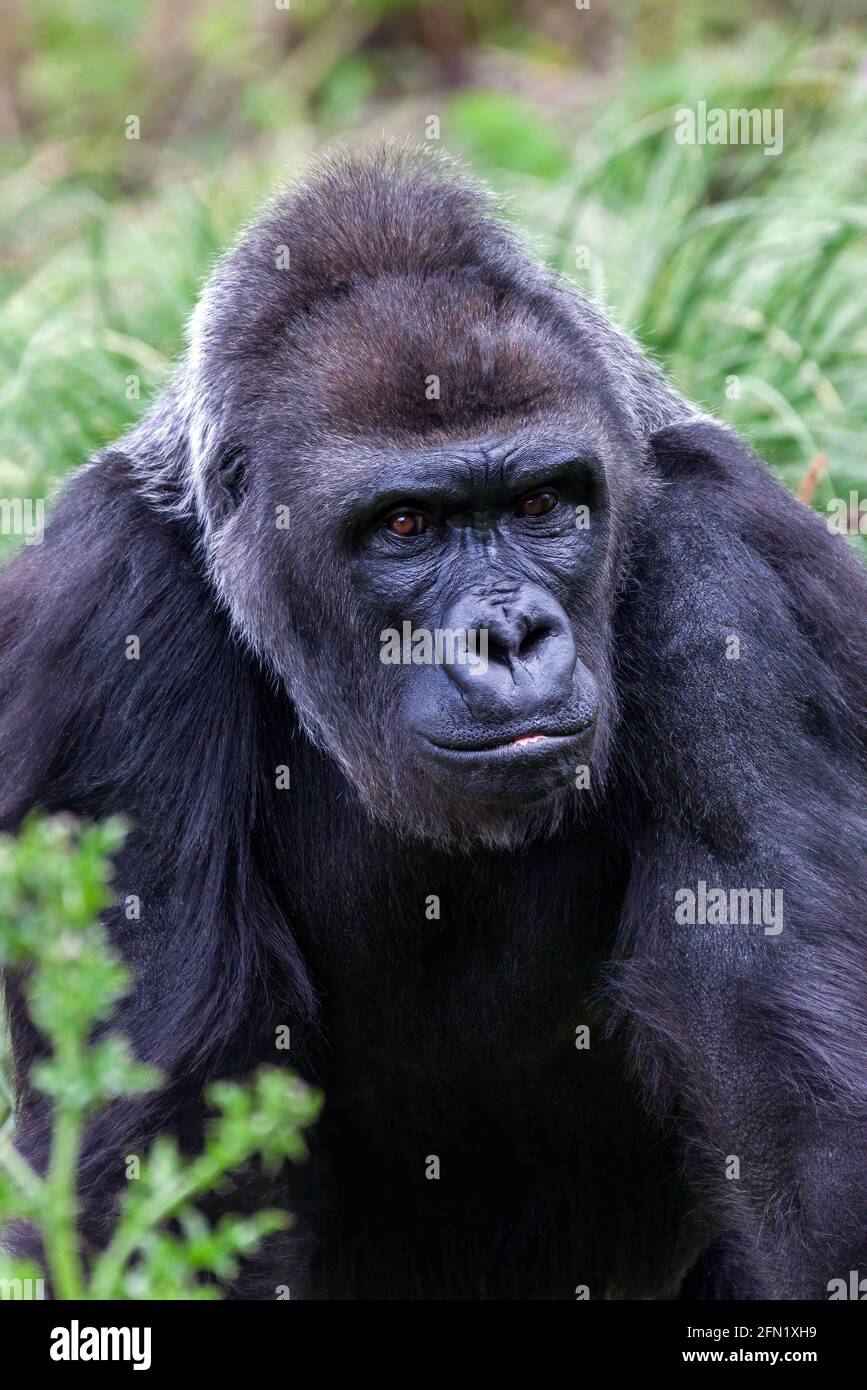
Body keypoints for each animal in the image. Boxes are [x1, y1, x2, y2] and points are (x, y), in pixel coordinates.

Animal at [1, 146, 867, 1295]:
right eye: (405, 524)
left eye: (544, 504)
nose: (511, 637)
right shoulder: (107, 612)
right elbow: (167, 1139)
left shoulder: (732, 558)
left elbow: (800, 1093)